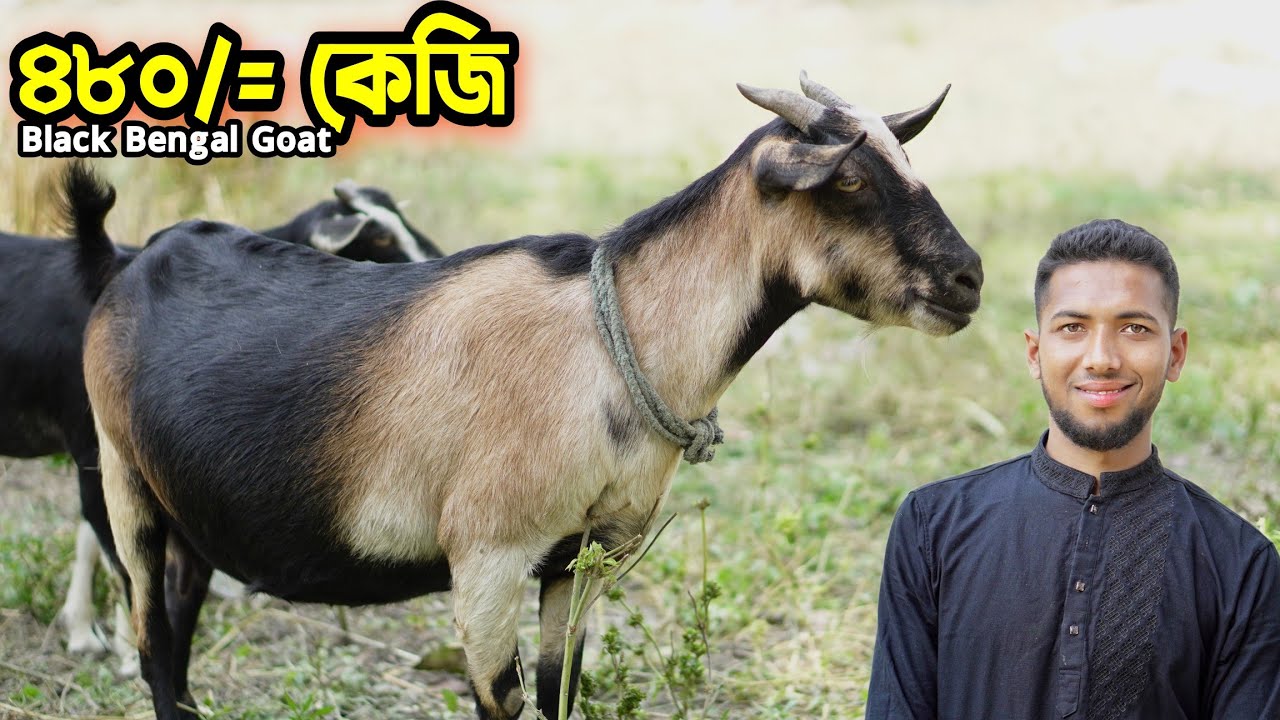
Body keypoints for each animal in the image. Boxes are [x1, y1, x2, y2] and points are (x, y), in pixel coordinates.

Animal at [0, 175, 442, 668]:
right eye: (378, 240)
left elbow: (94, 536)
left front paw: (86, 630)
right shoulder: (91, 442)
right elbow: (108, 543)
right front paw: (118, 645)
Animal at [74, 73, 982, 720]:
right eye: (849, 182)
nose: (968, 279)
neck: (608, 344)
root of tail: (132, 261)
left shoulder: (587, 554)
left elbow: (561, 688)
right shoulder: (488, 554)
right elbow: (503, 700)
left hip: (187, 502)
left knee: (180, 625)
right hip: (121, 479)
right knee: (152, 639)